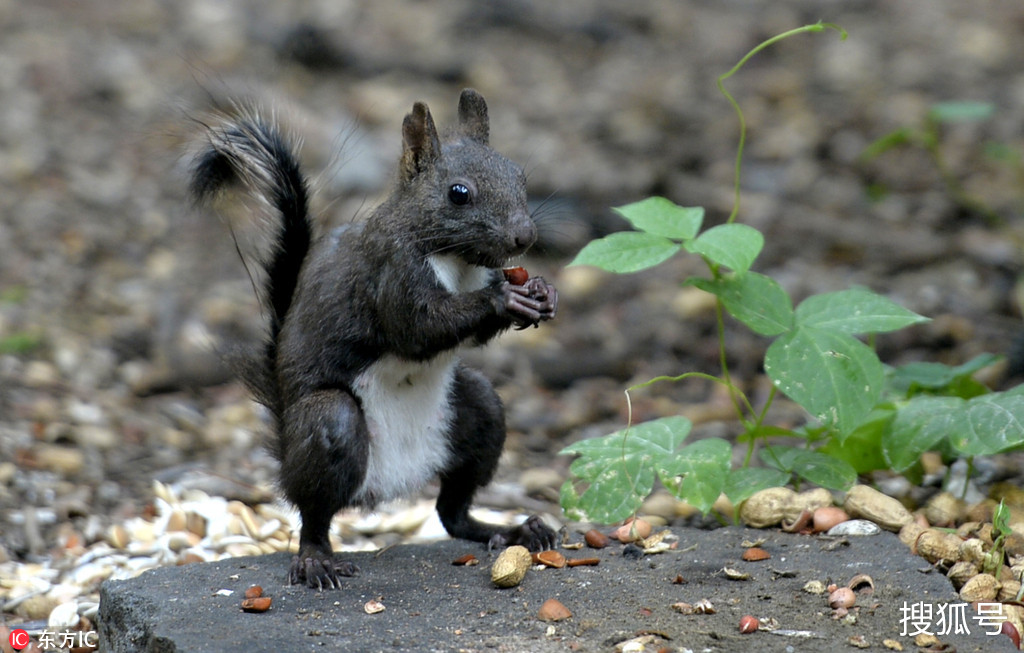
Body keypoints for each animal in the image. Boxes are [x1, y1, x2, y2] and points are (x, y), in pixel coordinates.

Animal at [192, 89, 561, 589]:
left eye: (519, 175)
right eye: (458, 193)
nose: (524, 235)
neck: (454, 258)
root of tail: (392, 483)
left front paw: (542, 291)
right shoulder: (390, 273)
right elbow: (419, 327)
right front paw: (504, 298)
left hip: (479, 411)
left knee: (453, 511)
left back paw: (512, 530)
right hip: (330, 425)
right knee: (314, 513)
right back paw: (316, 560)